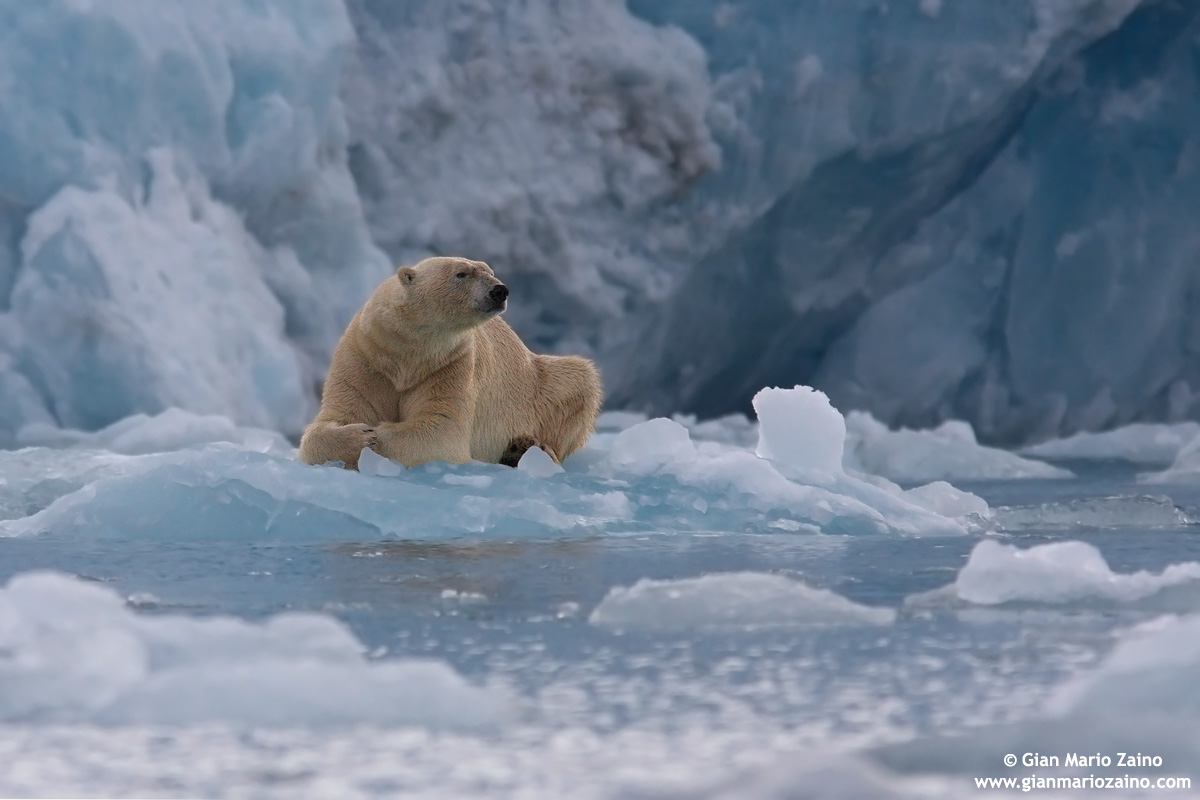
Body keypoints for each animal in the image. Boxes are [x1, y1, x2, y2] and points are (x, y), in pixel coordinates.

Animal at [298, 256, 602, 471]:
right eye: (461, 273)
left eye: (489, 271)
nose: (499, 290)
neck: (407, 354)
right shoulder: (366, 359)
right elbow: (332, 420)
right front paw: (360, 434)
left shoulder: (449, 365)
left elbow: (440, 429)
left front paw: (376, 435)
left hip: (538, 384)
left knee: (577, 380)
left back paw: (527, 449)